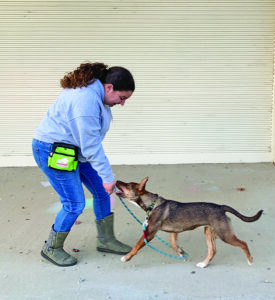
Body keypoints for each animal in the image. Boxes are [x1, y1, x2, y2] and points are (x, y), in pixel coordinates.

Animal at [116, 176, 264, 268]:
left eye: (128, 185)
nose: (116, 180)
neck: (153, 204)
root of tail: (221, 207)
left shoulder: (149, 233)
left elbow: (136, 246)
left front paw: (127, 257)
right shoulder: (174, 232)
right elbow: (173, 244)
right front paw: (181, 252)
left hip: (225, 234)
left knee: (243, 243)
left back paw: (250, 260)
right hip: (209, 232)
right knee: (213, 251)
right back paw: (203, 264)